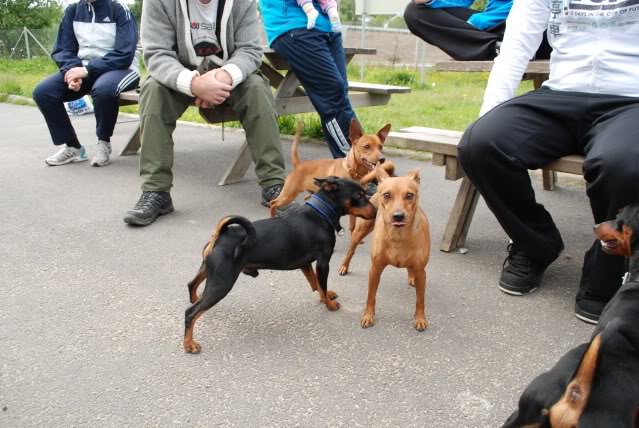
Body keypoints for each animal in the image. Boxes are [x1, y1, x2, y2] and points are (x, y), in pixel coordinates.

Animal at [182, 177, 378, 354]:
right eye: (359, 195)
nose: (377, 211)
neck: (320, 213)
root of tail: (223, 233)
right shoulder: (323, 263)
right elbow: (321, 284)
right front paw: (328, 304)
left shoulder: (306, 264)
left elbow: (315, 283)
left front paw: (327, 295)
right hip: (222, 283)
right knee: (190, 312)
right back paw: (189, 344)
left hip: (209, 272)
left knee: (192, 285)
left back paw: (195, 301)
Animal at [266, 119, 396, 217]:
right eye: (367, 146)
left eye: (380, 147)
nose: (382, 159)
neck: (353, 171)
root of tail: (298, 164)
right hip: (288, 195)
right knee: (273, 203)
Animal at [360, 167, 430, 332]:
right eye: (386, 195)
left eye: (410, 195)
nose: (398, 216)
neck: (398, 236)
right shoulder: (375, 270)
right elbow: (370, 296)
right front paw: (368, 316)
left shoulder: (421, 272)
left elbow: (420, 300)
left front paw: (420, 319)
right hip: (361, 230)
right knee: (350, 252)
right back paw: (344, 267)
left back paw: (411, 278)